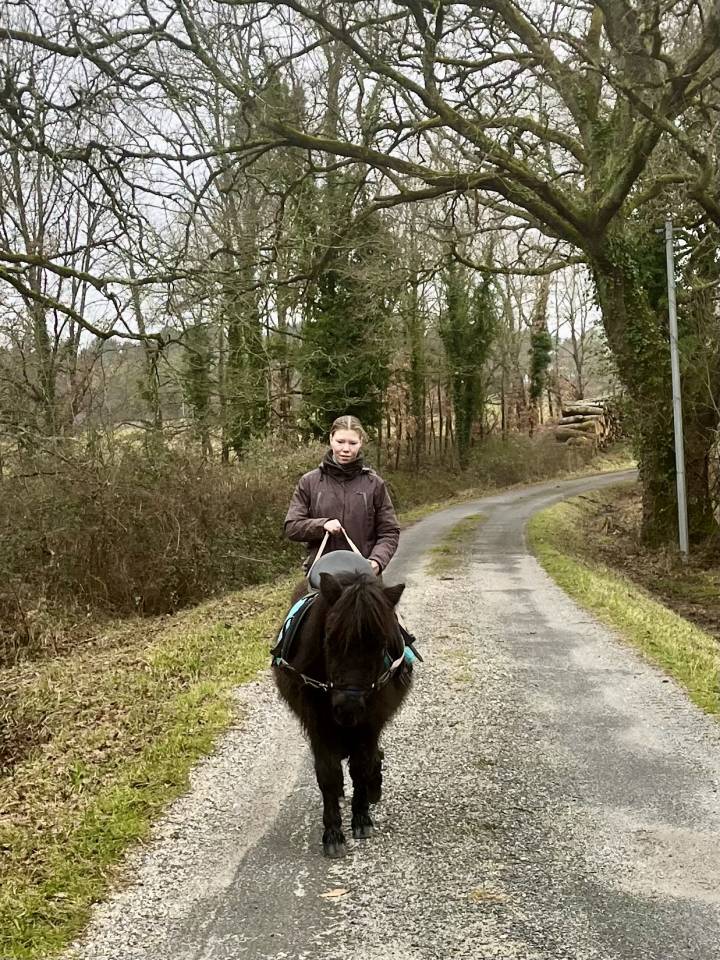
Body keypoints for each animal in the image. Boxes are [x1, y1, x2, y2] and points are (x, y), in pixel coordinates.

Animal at [272, 568, 412, 857]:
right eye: (329, 638)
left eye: (380, 644)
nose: (349, 705)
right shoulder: (317, 724)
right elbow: (327, 773)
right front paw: (333, 832)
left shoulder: (370, 721)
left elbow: (361, 766)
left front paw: (361, 818)